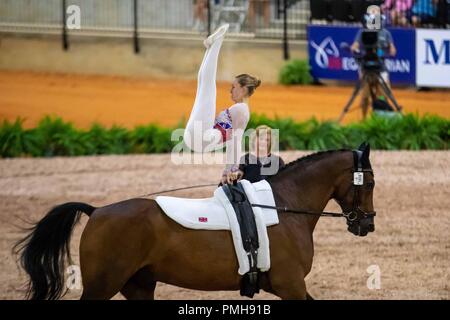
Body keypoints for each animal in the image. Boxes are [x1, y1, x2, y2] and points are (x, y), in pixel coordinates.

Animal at [14, 143, 376, 300]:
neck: (286, 207)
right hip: (104, 284)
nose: (367, 225)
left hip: (137, 285)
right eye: (370, 183)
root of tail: (98, 211)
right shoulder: (291, 285)